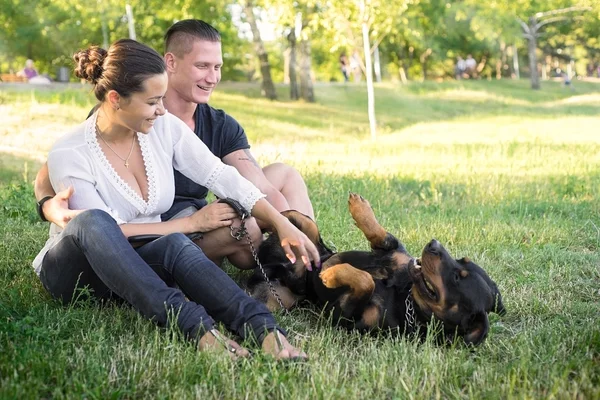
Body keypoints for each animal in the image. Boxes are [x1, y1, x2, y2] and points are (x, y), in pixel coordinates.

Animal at [248, 192, 506, 346]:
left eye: (457, 277)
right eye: (462, 260)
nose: (433, 244)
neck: (406, 297)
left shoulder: (344, 318)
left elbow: (366, 282)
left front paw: (331, 275)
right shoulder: (392, 252)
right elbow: (382, 236)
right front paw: (360, 208)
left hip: (279, 299)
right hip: (305, 238)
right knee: (295, 219)